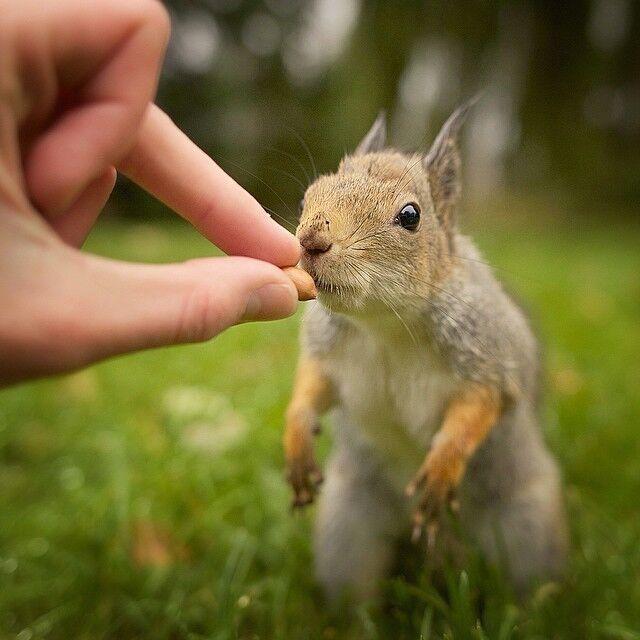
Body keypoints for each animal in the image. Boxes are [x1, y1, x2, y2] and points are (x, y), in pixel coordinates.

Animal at [282, 102, 568, 604]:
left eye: (411, 215)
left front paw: (441, 467)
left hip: (526, 526)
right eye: (306, 199)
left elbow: (478, 408)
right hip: (347, 525)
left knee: (528, 585)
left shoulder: (485, 359)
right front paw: (297, 437)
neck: (385, 325)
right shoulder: (327, 352)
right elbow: (312, 385)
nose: (310, 241)